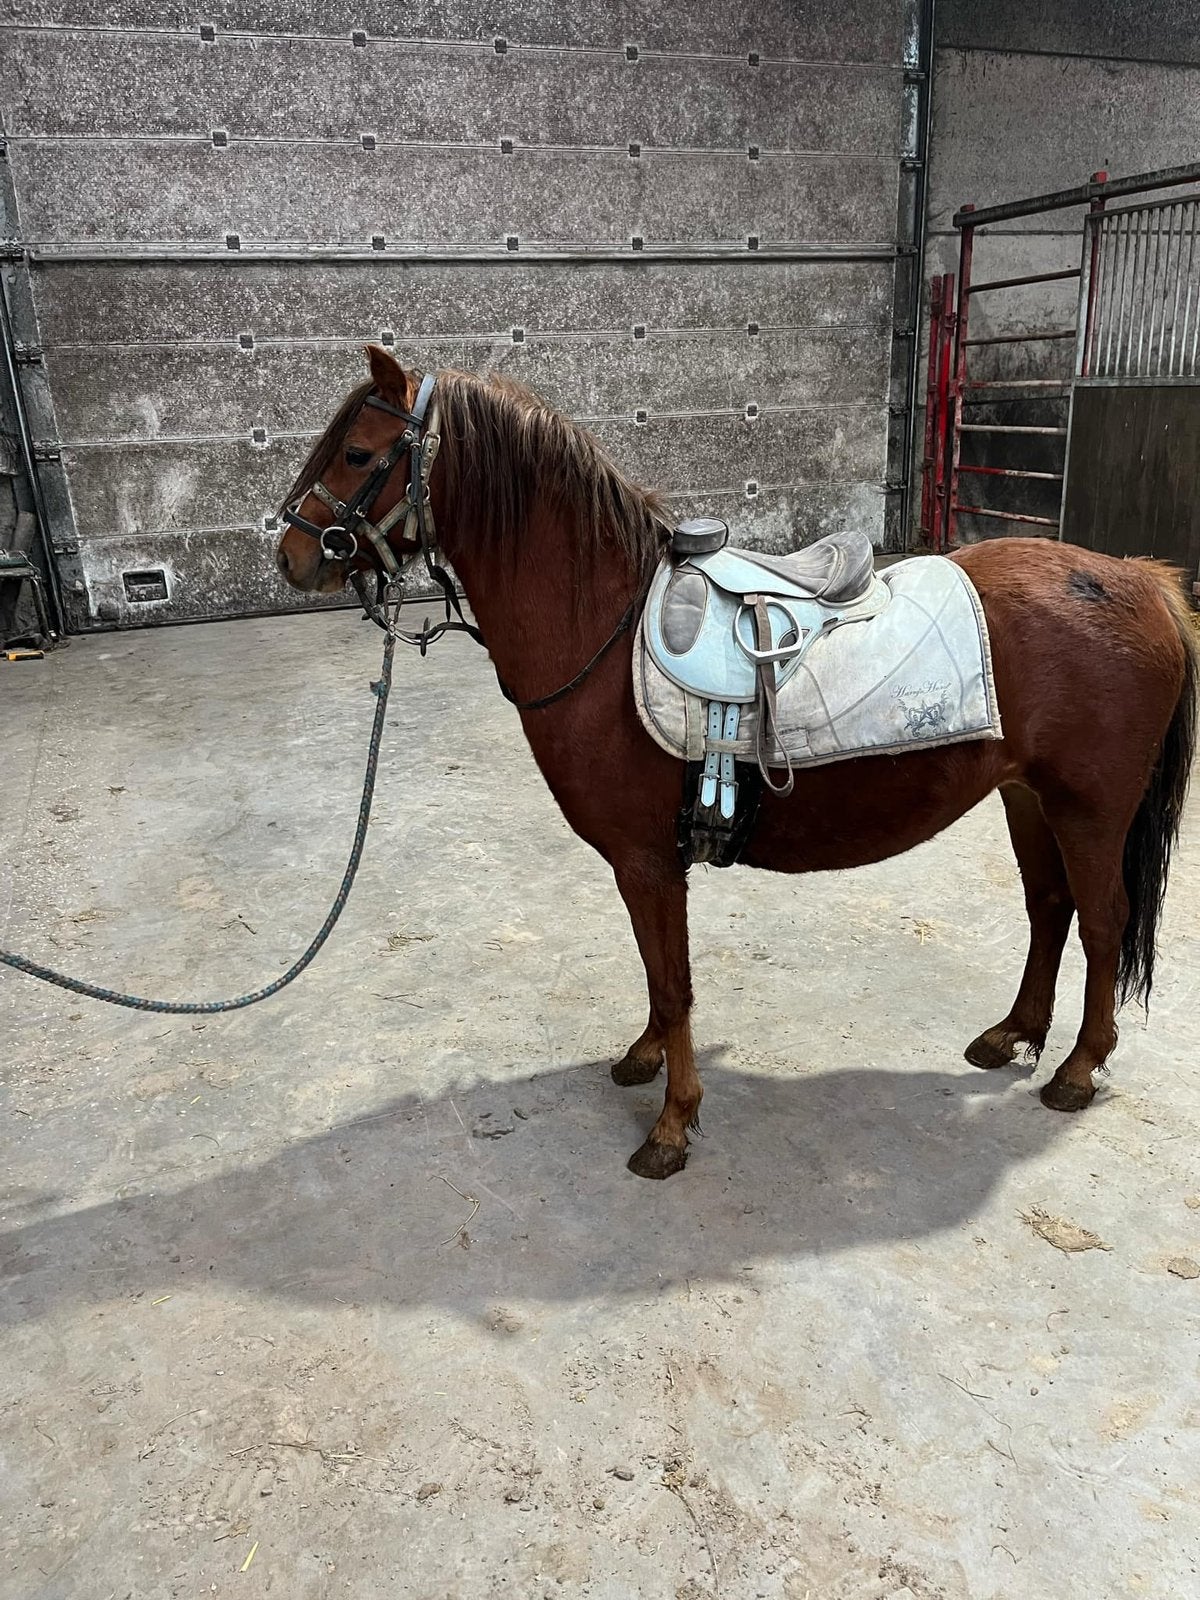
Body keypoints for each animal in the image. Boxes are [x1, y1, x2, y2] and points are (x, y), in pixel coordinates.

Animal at [275, 347, 1197, 1180]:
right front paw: (647, 1058)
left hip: (1089, 808)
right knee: (1051, 909)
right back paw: (1015, 1035)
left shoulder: (648, 861)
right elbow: (658, 974)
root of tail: (1142, 581)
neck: (603, 629)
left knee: (1103, 919)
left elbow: (674, 980)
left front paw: (672, 1126)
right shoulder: (643, 865)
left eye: (356, 453)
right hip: (1026, 797)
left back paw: (1078, 1068)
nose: (291, 555)